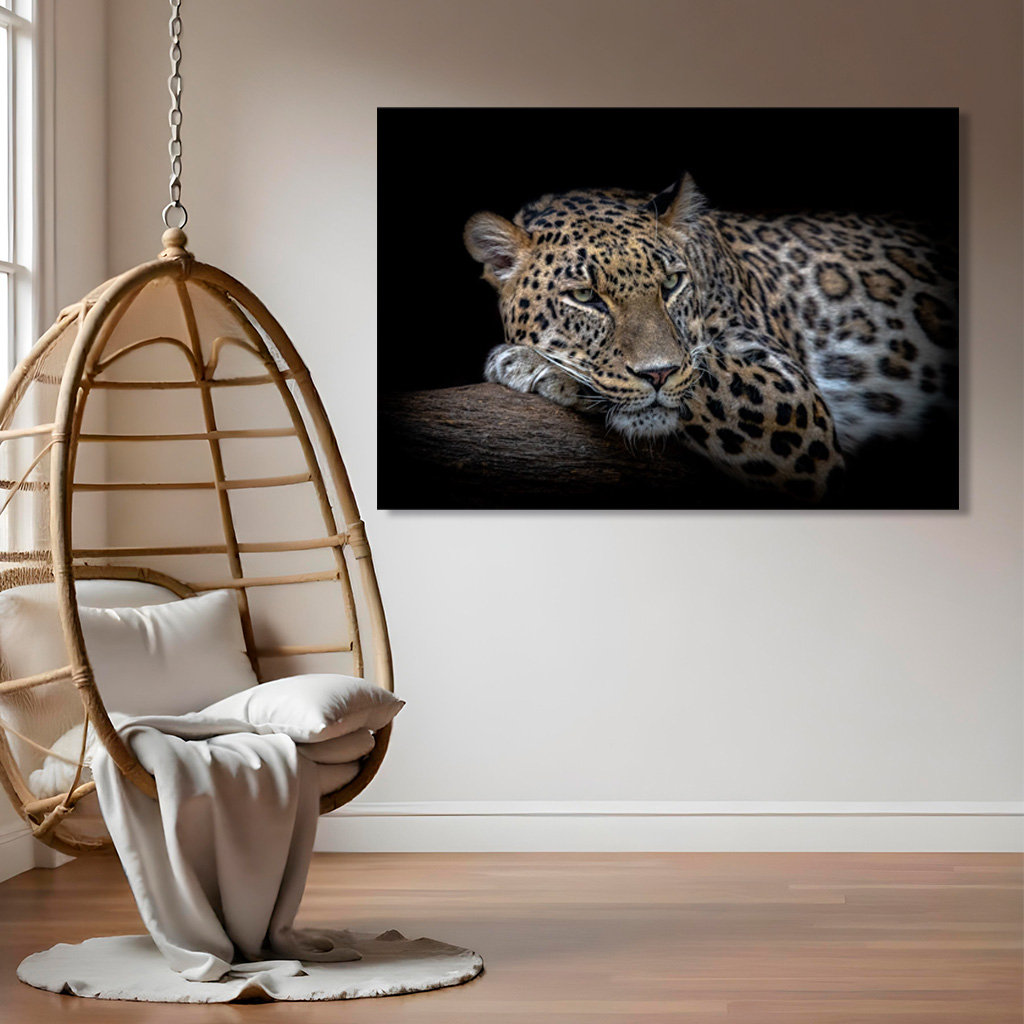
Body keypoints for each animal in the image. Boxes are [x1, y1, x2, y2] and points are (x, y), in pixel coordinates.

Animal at [464, 175, 957, 503]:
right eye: (584, 296)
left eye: (672, 283)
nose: (658, 374)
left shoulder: (794, 399)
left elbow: (705, 372)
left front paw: (535, 364)